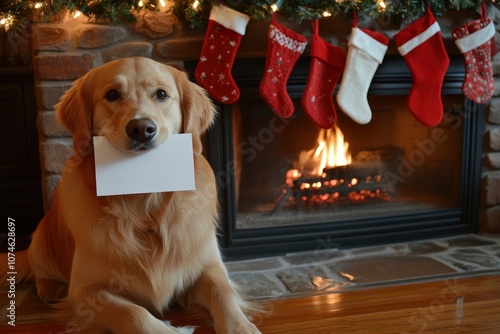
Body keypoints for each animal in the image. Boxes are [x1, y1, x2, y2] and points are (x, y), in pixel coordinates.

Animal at [9, 57, 260, 334]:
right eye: (112, 94)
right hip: (42, 239)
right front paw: (172, 330)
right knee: (39, 268)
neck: (143, 201)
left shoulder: (208, 265)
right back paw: (48, 288)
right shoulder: (85, 291)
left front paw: (241, 327)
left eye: (161, 94)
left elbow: (223, 293)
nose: (141, 128)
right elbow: (133, 313)